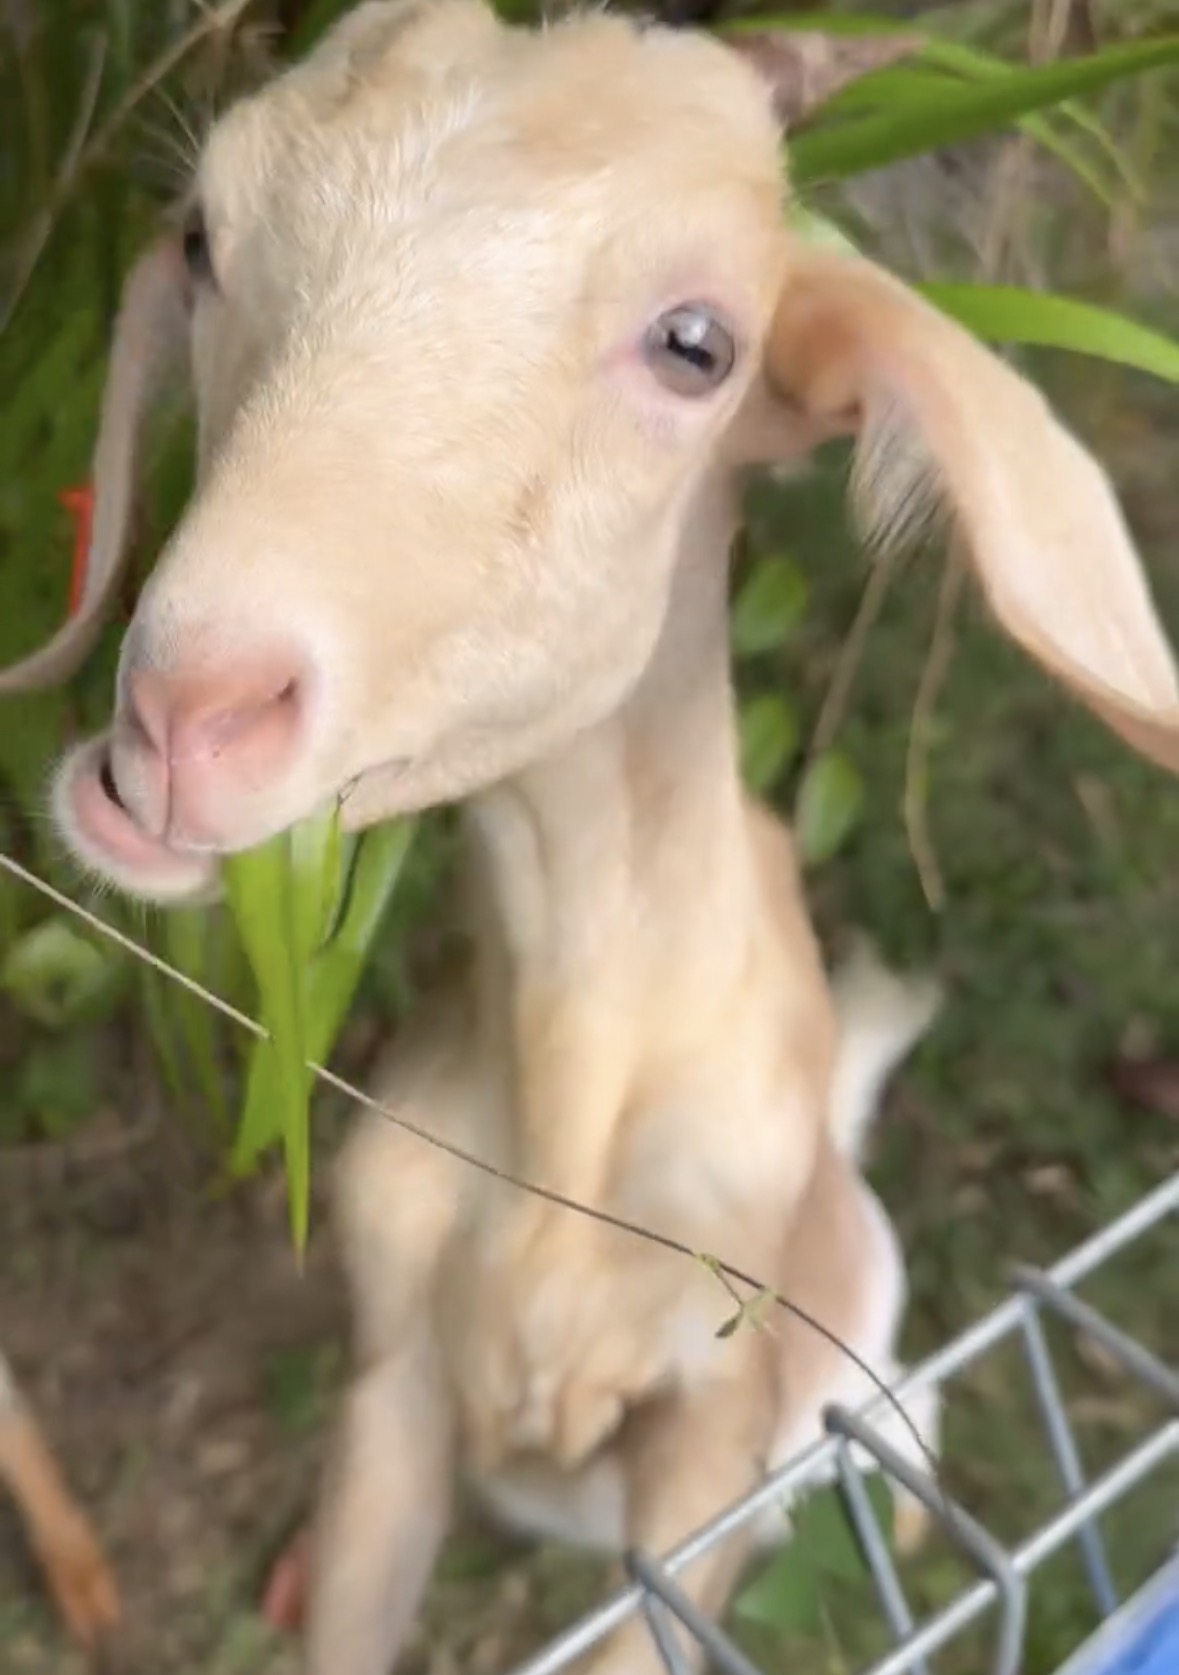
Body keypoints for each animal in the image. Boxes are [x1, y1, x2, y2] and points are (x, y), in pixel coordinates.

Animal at [5, 3, 1179, 1669]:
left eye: (696, 344)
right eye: (201, 239)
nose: (184, 716)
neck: (569, 1090)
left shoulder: (699, 1442)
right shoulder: (391, 1383)